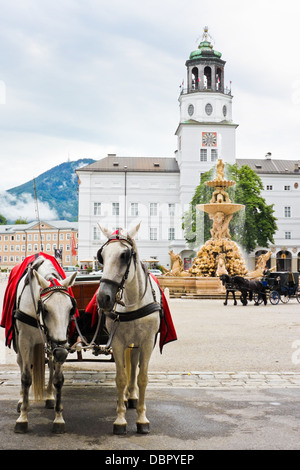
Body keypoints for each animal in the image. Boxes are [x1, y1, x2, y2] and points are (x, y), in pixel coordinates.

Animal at [13, 258, 77, 434]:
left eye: (71, 309)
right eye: (46, 309)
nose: (61, 353)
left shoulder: (59, 341)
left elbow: (58, 379)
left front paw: (58, 418)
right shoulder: (24, 339)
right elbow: (26, 377)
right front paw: (23, 417)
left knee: (50, 364)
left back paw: (49, 396)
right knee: (21, 363)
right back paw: (21, 400)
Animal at [97, 222, 161, 436]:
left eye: (124, 255)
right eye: (101, 255)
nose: (103, 298)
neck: (133, 301)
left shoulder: (147, 342)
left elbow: (142, 378)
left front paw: (142, 418)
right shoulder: (117, 342)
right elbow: (121, 378)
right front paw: (120, 419)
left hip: (137, 343)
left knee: (133, 363)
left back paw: (131, 397)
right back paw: (125, 397)